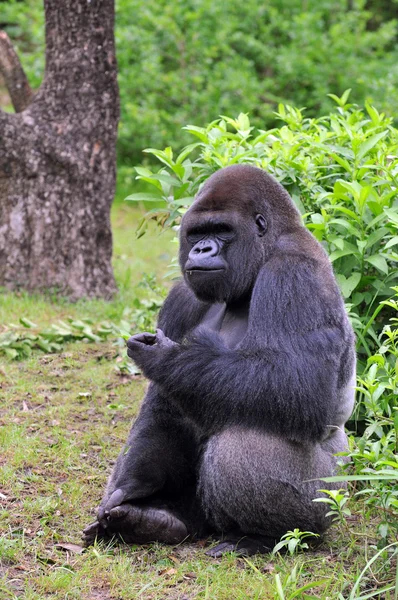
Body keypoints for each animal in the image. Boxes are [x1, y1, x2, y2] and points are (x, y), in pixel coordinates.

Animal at [82, 165, 356, 556]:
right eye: (197, 233)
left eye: (222, 230)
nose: (202, 248)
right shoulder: (181, 296)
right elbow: (161, 407)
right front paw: (135, 487)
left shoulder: (294, 274)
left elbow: (298, 386)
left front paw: (169, 356)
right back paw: (158, 519)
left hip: (332, 496)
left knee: (246, 435)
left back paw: (266, 536)